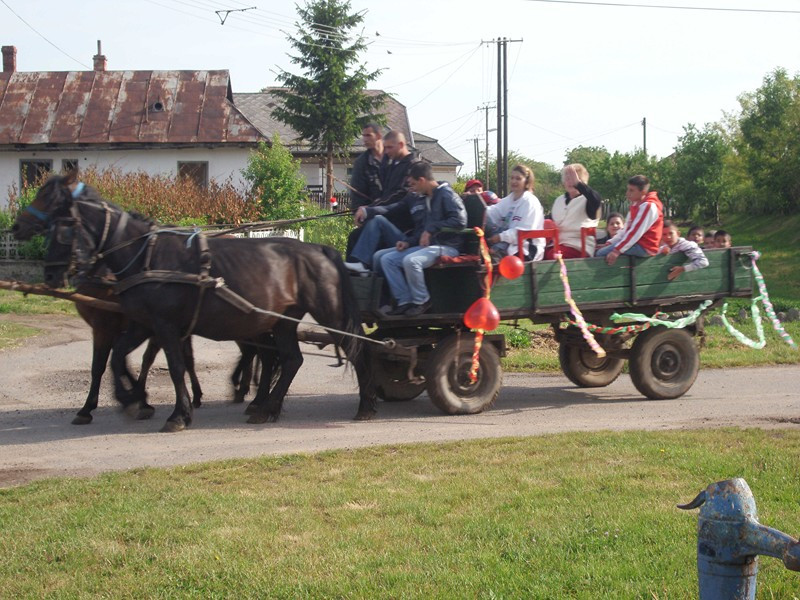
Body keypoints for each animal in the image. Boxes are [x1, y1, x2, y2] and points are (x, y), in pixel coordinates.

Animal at [12, 173, 376, 432]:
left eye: (63, 228)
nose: (50, 274)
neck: (144, 255)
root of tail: (319, 249)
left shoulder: (161, 326)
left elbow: (170, 367)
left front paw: (176, 413)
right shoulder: (144, 324)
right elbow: (119, 359)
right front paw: (133, 400)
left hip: (328, 313)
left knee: (356, 349)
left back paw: (365, 405)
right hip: (281, 321)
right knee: (289, 360)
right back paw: (266, 408)